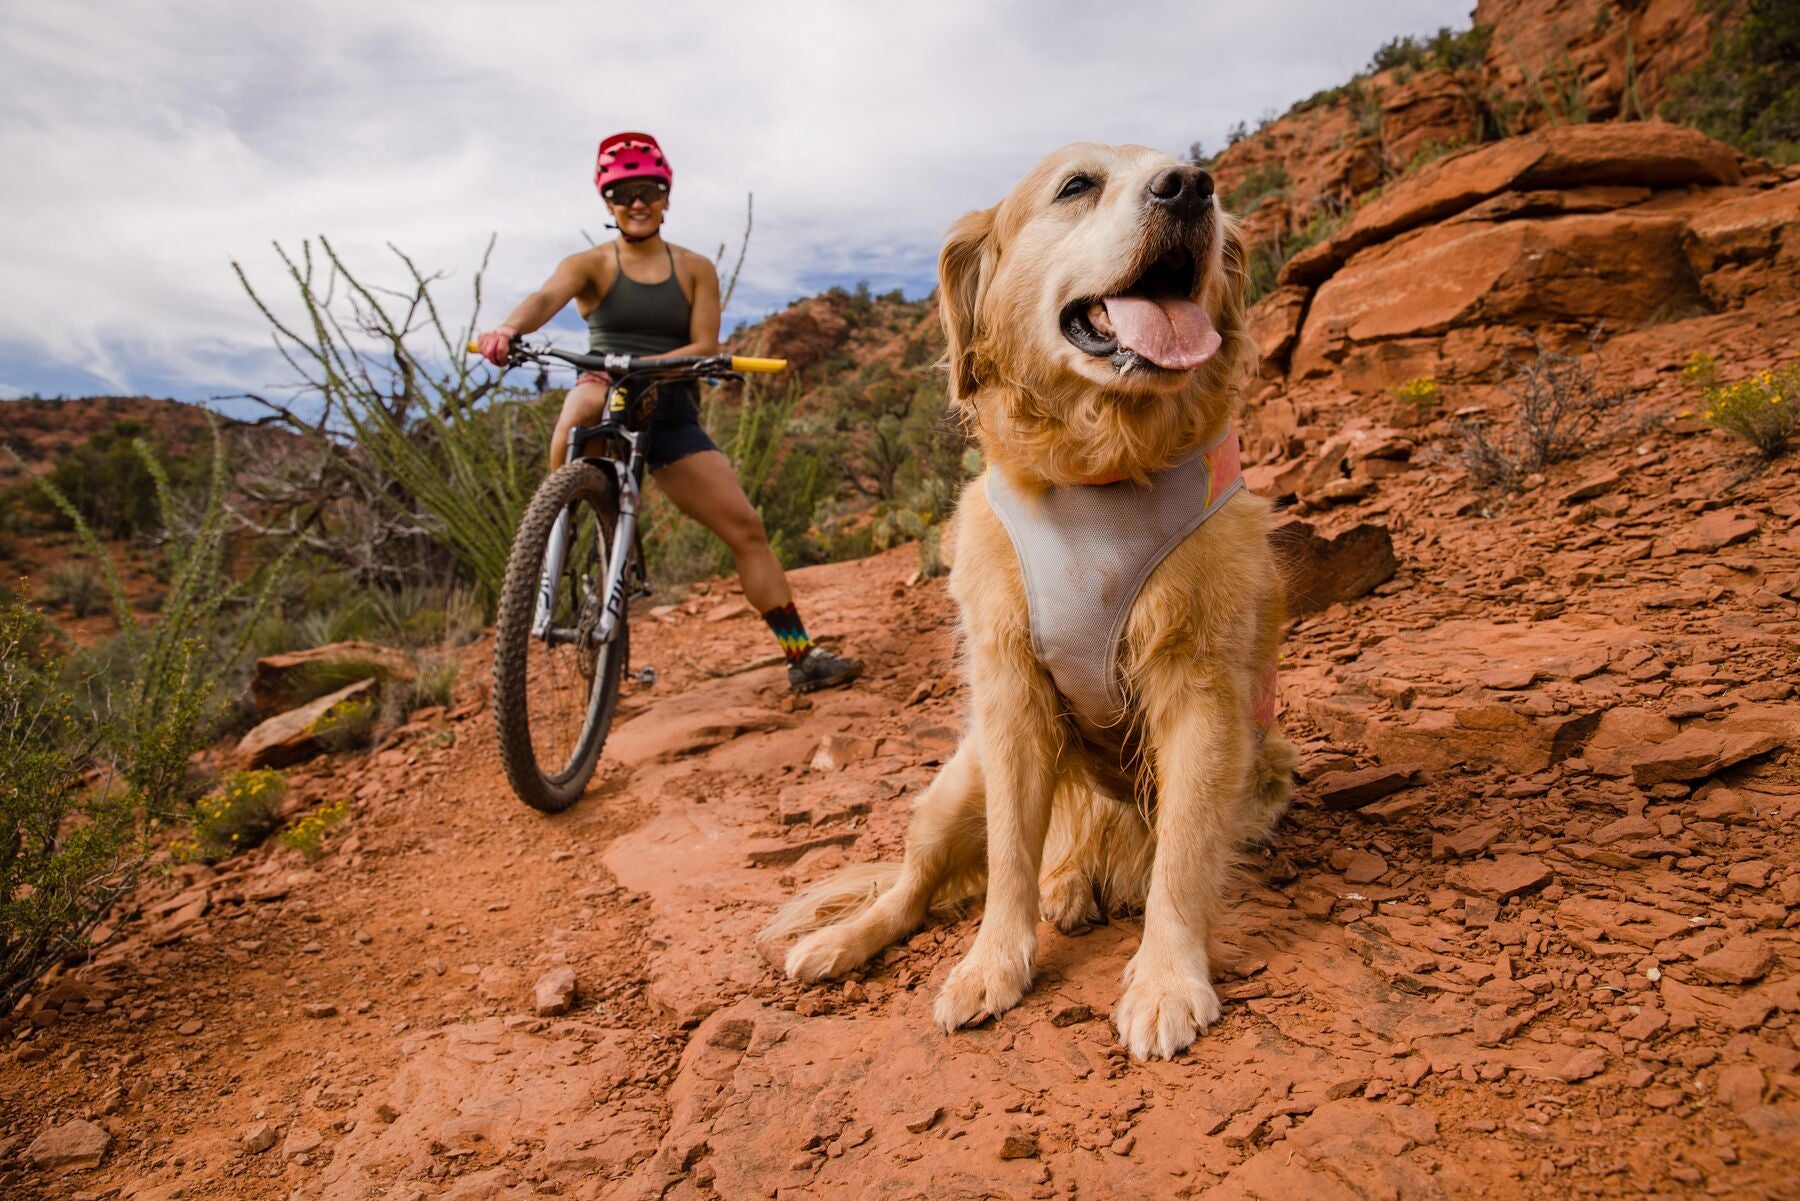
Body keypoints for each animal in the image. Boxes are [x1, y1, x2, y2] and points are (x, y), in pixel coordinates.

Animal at [759, 143, 1296, 1058]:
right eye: (1077, 186)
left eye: (1199, 179)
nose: (1191, 187)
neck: (1100, 475)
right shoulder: (1010, 697)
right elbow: (1010, 858)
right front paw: (992, 966)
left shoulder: (1200, 694)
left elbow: (1183, 856)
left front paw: (1165, 980)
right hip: (953, 787)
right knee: (910, 886)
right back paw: (843, 940)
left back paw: (1076, 886)